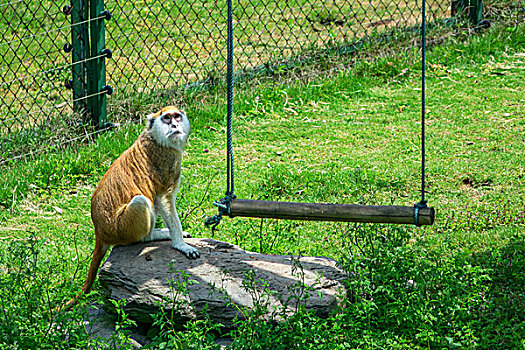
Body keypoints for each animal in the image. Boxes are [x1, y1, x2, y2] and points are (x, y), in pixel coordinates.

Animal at [57, 106, 199, 312]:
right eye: (166, 118)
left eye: (177, 116)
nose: (174, 125)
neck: (154, 136)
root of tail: (99, 232)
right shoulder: (167, 161)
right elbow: (163, 199)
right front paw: (180, 244)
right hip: (122, 229)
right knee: (141, 201)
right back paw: (150, 236)